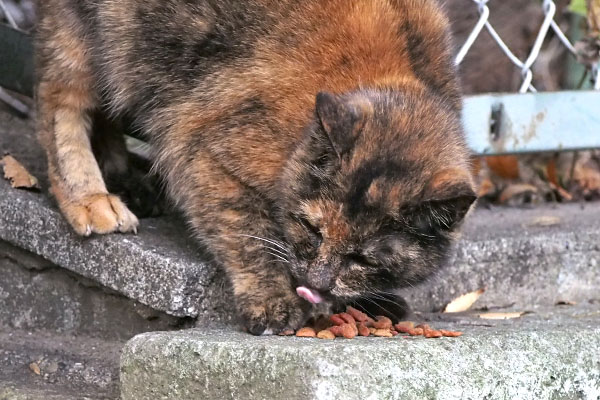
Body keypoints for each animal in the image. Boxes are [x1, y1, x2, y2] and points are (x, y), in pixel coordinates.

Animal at [37, 0, 478, 334]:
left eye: (365, 259)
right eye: (311, 228)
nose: (316, 282)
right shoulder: (203, 148)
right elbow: (248, 235)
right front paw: (272, 300)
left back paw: (127, 179)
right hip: (90, 33)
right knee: (59, 99)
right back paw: (91, 199)